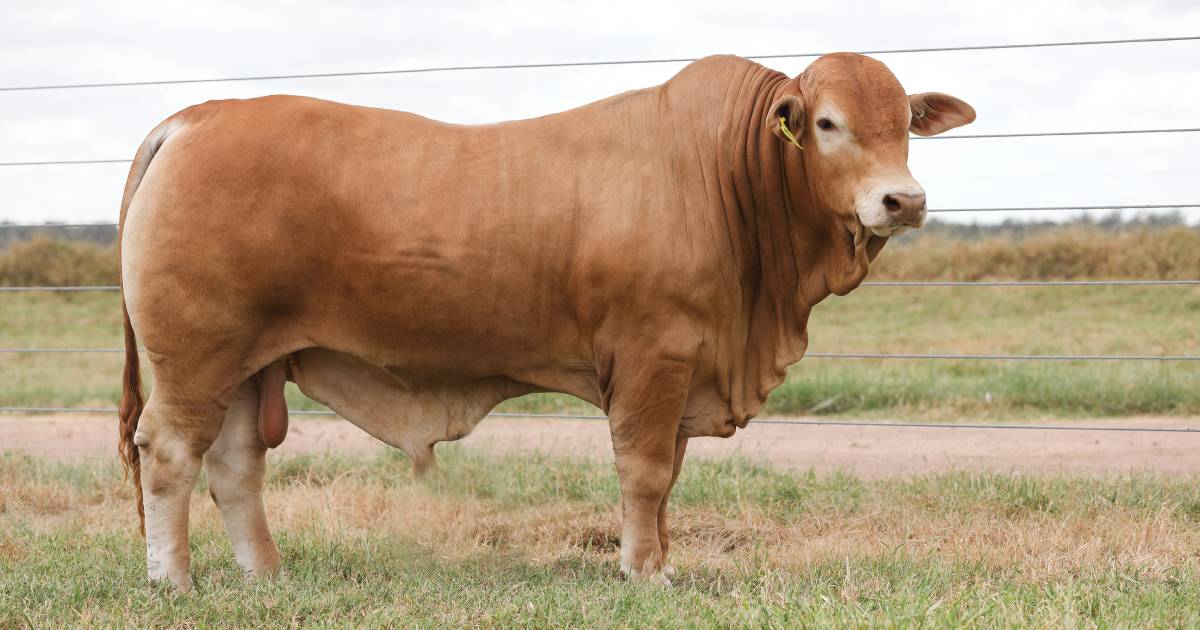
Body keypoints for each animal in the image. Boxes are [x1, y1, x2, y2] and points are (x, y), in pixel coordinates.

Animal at [117, 51, 969, 588]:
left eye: (904, 122)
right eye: (826, 123)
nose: (904, 200)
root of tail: (197, 117)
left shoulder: (684, 370)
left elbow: (668, 479)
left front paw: (661, 559)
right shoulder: (654, 358)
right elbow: (646, 472)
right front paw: (644, 571)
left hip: (244, 363)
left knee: (234, 465)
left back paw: (264, 575)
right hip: (196, 357)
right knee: (168, 453)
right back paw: (174, 581)